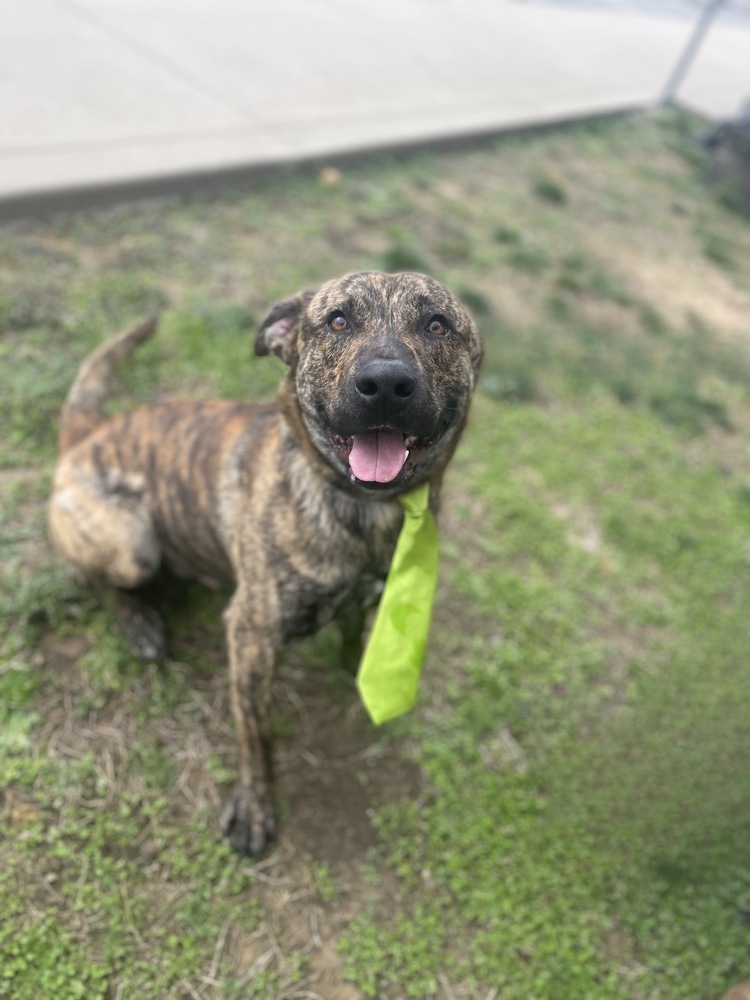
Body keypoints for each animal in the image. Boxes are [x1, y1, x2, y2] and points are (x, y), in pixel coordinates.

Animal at [48, 270, 482, 856]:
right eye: (337, 321)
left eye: (437, 325)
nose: (386, 384)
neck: (362, 508)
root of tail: (87, 435)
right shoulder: (252, 637)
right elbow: (258, 738)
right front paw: (254, 807)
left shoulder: (365, 596)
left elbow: (354, 638)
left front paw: (358, 671)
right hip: (130, 542)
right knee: (98, 578)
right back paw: (139, 623)